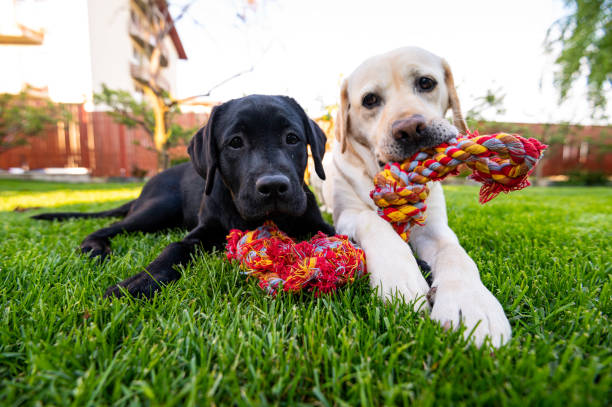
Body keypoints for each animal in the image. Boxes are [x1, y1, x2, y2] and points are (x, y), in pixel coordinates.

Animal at [32, 95, 334, 300]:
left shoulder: (318, 223)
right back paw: (95, 248)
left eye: (292, 138)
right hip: (158, 208)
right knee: (109, 227)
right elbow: (174, 248)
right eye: (235, 142)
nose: (273, 186)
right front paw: (140, 281)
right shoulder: (201, 231)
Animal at [322, 47, 512, 348]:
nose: (410, 128)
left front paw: (472, 304)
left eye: (426, 82)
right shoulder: (347, 213)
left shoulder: (434, 227)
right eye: (369, 100)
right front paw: (400, 280)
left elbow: (456, 254)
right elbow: (373, 221)